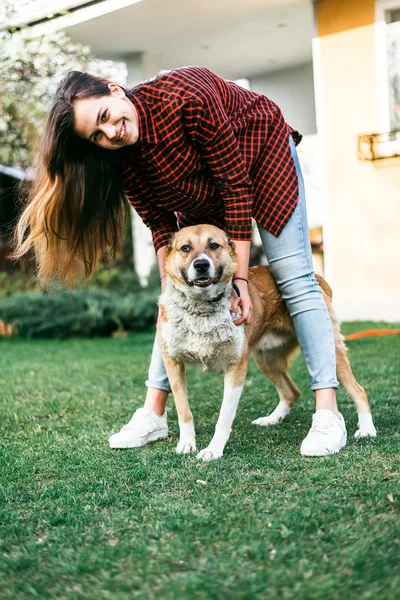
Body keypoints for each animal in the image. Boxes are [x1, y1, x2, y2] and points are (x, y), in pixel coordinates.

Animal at [158, 223, 376, 462]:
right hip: (267, 360)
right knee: (292, 392)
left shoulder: (236, 367)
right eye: (185, 248)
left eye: (213, 245)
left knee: (358, 390)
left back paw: (367, 429)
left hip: (330, 352)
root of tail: (317, 277)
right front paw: (187, 443)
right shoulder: (173, 363)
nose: (201, 265)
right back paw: (272, 419)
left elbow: (224, 417)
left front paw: (214, 449)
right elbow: (183, 410)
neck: (201, 309)